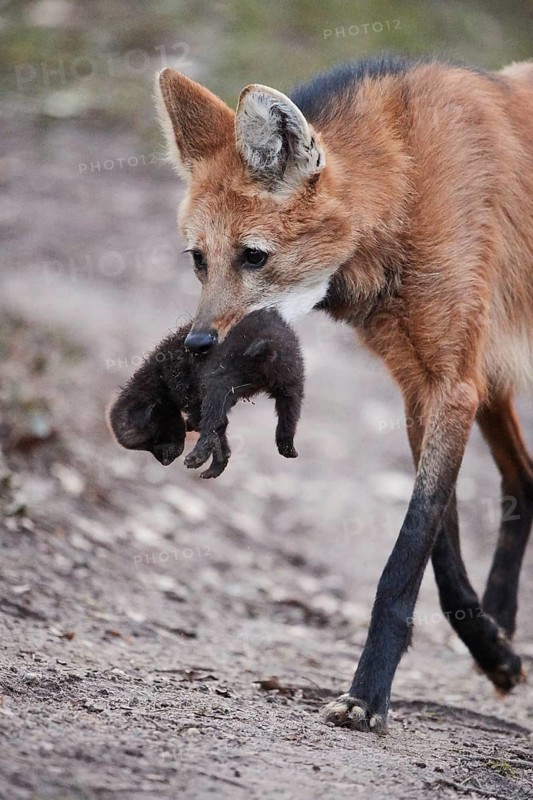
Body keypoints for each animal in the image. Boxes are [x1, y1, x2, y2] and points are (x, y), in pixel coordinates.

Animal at [154, 55, 533, 732]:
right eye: (199, 260)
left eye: (254, 256)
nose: (198, 344)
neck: (405, 193)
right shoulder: (424, 389)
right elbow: (441, 556)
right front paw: (493, 650)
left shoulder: (452, 388)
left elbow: (405, 559)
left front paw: (367, 695)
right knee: (525, 481)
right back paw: (504, 624)